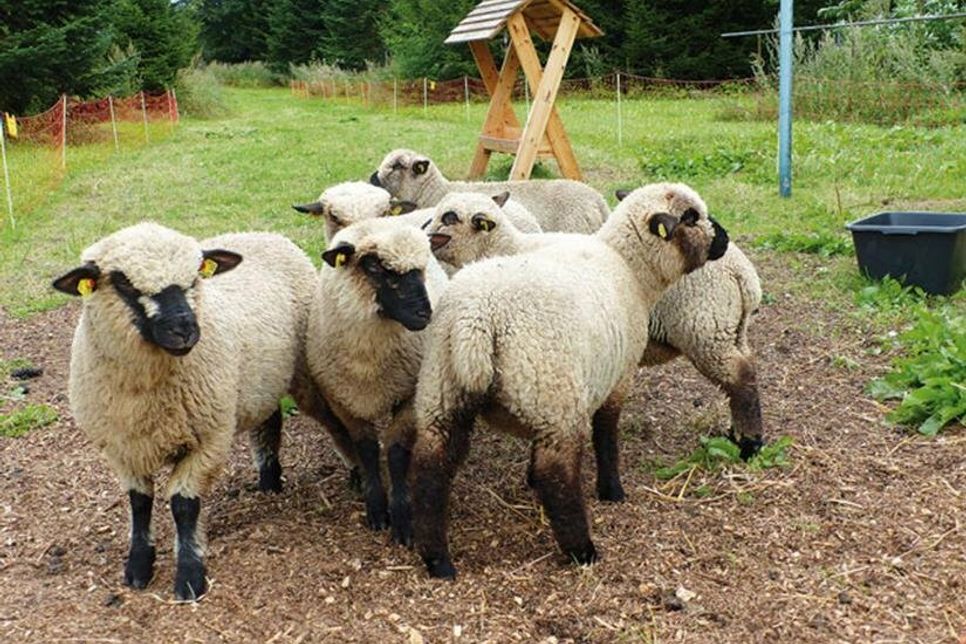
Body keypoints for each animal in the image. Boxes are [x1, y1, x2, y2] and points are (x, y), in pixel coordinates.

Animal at [52, 222, 325, 601]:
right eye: (123, 283)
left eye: (195, 276)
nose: (184, 329)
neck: (146, 395)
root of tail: (261, 232)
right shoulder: (121, 448)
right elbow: (139, 502)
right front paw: (138, 565)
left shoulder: (209, 440)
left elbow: (184, 505)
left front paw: (190, 575)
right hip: (259, 381)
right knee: (267, 422)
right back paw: (268, 481)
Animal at [306, 218, 448, 546]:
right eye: (374, 267)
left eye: (422, 267)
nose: (425, 314)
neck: (369, 364)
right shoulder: (341, 399)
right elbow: (367, 449)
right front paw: (375, 508)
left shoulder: (409, 396)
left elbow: (395, 452)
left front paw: (401, 517)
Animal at [407, 183, 730, 578]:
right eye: (692, 217)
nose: (725, 240)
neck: (629, 268)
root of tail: (478, 319)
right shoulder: (619, 375)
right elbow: (607, 434)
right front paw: (612, 490)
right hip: (555, 397)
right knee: (557, 474)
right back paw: (582, 549)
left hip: (444, 392)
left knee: (430, 471)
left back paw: (437, 559)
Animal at [426, 190, 765, 462]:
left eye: (448, 217)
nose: (425, 235)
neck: (508, 248)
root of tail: (744, 276)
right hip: (729, 331)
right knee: (746, 370)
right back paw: (736, 435)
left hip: (705, 330)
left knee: (739, 377)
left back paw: (749, 445)